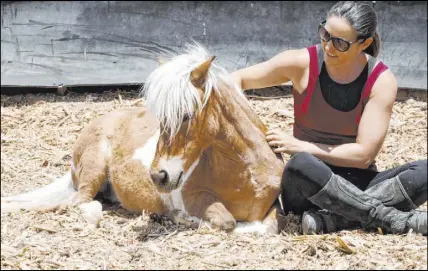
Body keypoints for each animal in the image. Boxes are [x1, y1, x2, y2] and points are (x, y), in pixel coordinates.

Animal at [3, 43, 286, 235]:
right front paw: (183, 218)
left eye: (186, 115)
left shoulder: (274, 206)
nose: (158, 176)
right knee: (82, 203)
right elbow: (227, 222)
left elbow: (268, 226)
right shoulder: (195, 197)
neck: (246, 175)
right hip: (94, 166)